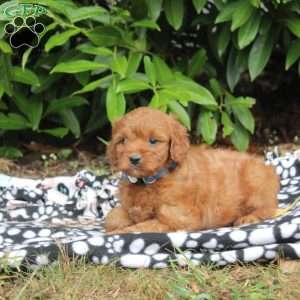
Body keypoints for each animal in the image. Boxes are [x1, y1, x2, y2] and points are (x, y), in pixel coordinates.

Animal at [105, 106, 278, 233]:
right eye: (123, 141)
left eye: (153, 141)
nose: (133, 159)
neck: (148, 181)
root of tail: (267, 166)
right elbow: (112, 217)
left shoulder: (180, 217)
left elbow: (141, 227)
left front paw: (117, 234)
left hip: (254, 180)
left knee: (269, 207)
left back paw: (248, 218)